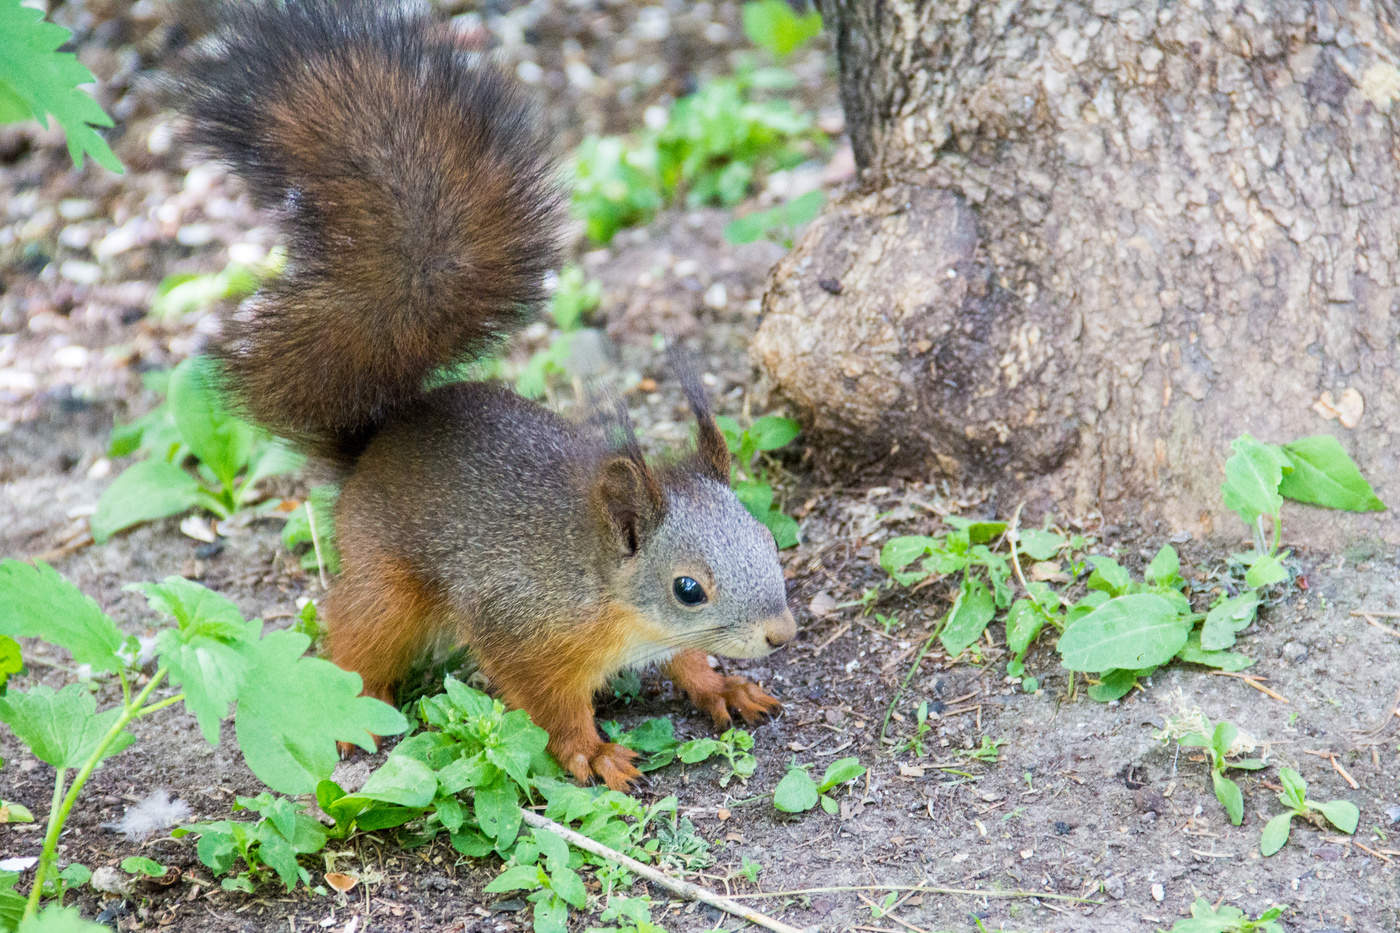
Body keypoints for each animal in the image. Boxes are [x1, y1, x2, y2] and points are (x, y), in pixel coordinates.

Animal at [173, 0, 797, 790]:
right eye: (689, 588)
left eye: (765, 536)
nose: (782, 633)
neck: (603, 588)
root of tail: (377, 439)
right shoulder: (520, 626)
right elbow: (548, 705)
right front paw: (593, 752)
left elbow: (685, 658)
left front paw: (722, 685)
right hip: (387, 584)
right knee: (355, 638)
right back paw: (357, 713)